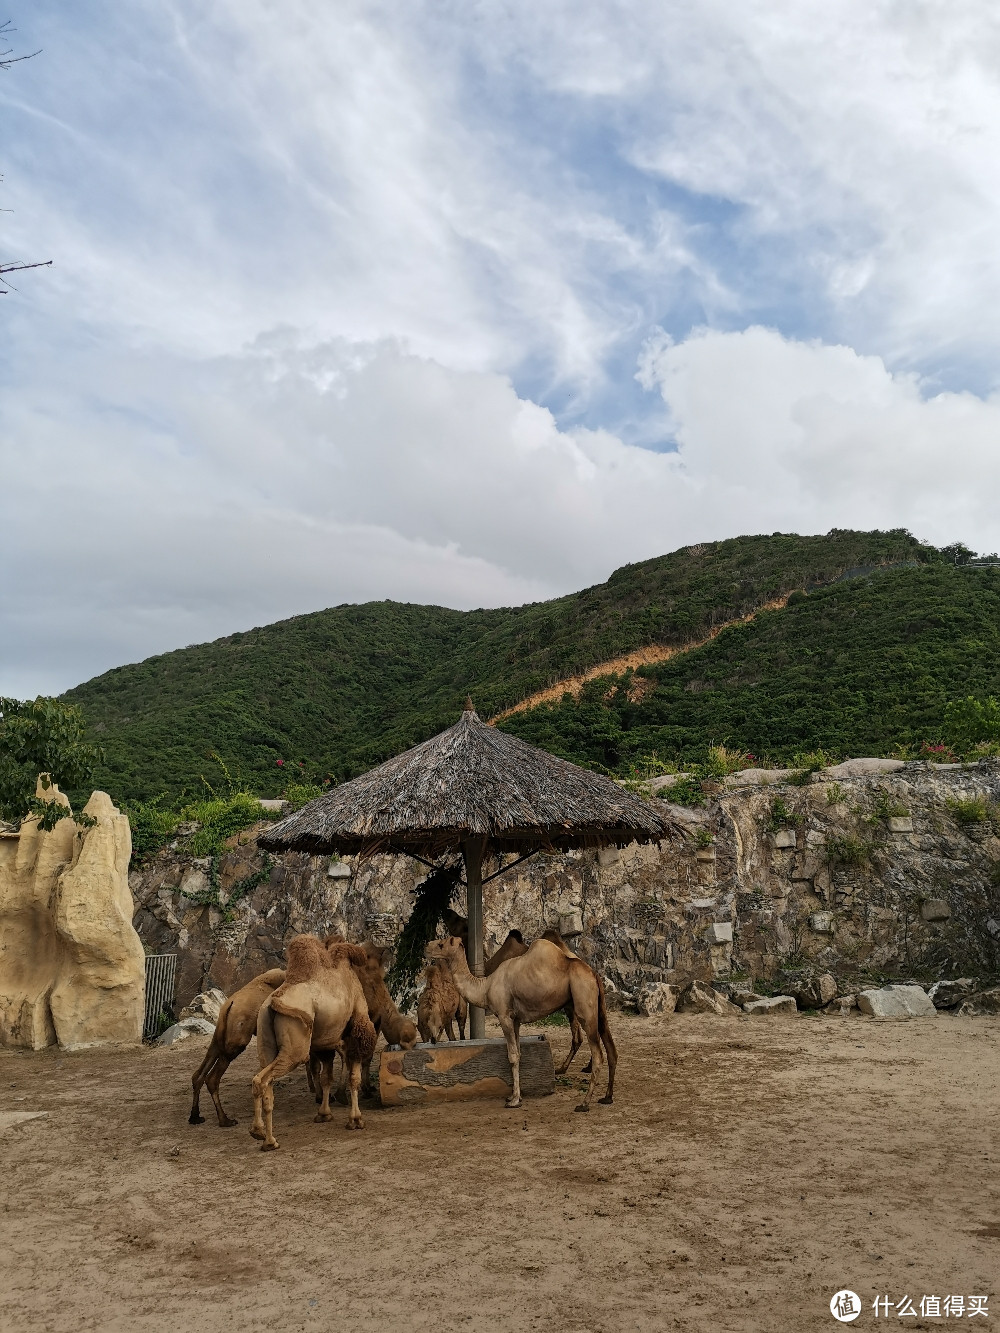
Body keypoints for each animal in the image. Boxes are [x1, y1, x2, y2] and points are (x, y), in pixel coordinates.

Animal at [190, 970, 285, 1125]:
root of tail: (228, 1006)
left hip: (219, 1037)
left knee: (198, 1074)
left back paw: (195, 1117)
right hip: (236, 1041)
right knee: (212, 1078)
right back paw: (225, 1120)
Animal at [250, 938, 376, 1146]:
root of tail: (272, 1003)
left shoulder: (324, 1043)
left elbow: (326, 1078)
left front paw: (324, 1114)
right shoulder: (358, 1031)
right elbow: (354, 1078)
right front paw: (356, 1120)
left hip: (264, 1039)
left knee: (262, 1079)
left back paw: (262, 1135)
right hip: (295, 1051)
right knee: (262, 1080)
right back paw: (266, 1138)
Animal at [424, 938, 618, 1114]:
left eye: (441, 944)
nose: (426, 947)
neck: (485, 987)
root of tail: (593, 973)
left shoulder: (504, 1016)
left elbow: (512, 1056)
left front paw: (514, 1100)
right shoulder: (515, 1020)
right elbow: (519, 1052)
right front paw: (514, 1096)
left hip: (584, 1003)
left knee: (598, 1053)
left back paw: (584, 1103)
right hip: (599, 1009)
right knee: (611, 1049)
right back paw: (607, 1097)